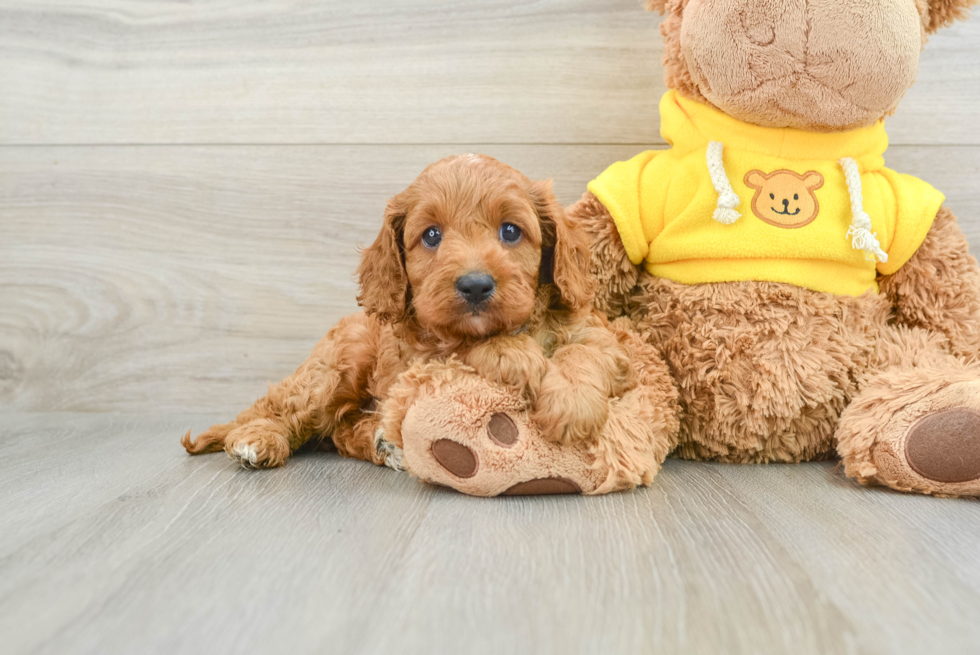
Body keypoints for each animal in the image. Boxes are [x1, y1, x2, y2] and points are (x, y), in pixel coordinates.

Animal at [182, 155, 680, 498]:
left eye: (511, 231)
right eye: (432, 236)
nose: (475, 285)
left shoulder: (601, 338)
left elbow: (584, 351)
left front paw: (571, 405)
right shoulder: (420, 355)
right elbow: (461, 347)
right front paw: (516, 357)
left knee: (342, 432)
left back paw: (382, 443)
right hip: (338, 364)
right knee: (284, 409)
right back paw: (256, 439)